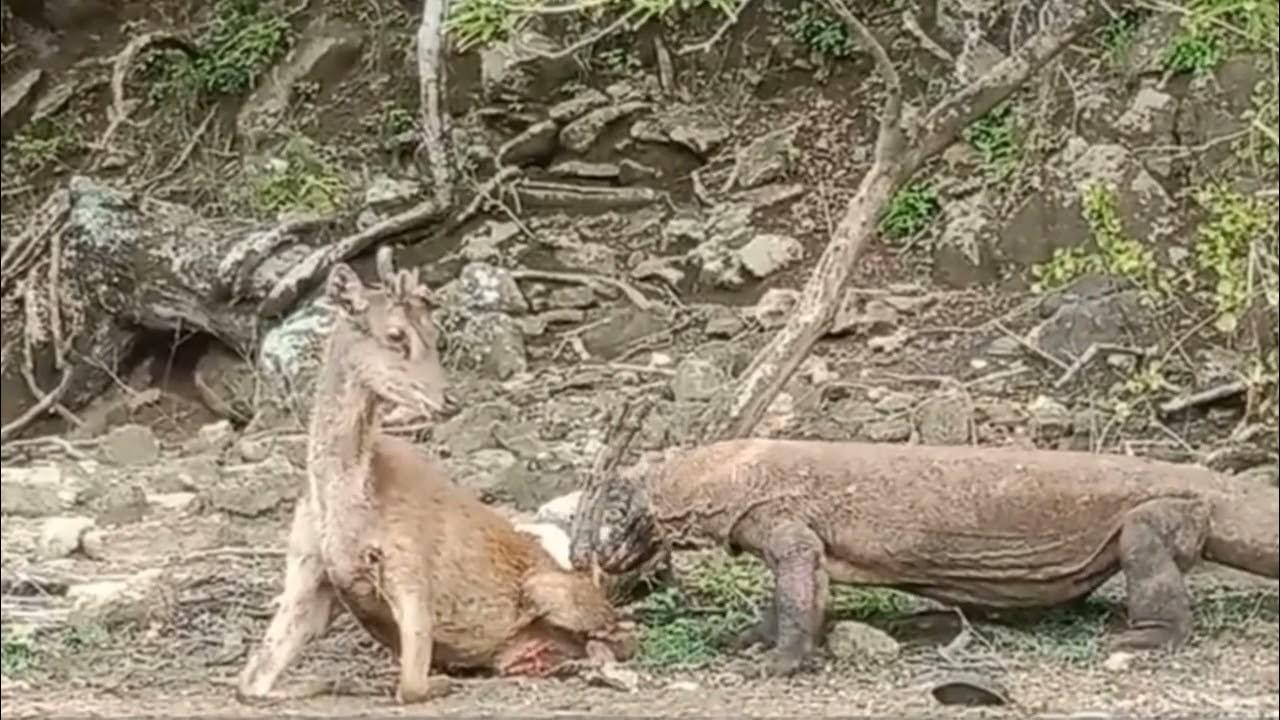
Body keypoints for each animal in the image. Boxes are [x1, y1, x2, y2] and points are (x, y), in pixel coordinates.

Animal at [236, 248, 635, 705]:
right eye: (395, 335)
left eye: (434, 332)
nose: (449, 399)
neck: (346, 504)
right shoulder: (307, 570)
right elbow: (249, 683)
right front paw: (335, 682)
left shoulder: (411, 564)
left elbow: (410, 685)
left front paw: (429, 682)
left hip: (552, 589)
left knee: (621, 636)